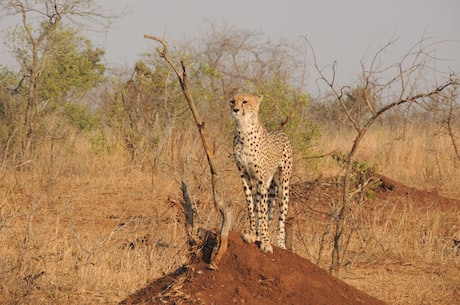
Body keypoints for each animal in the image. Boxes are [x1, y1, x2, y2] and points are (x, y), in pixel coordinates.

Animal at [229, 92, 292, 252]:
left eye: (245, 101)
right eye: (232, 101)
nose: (235, 110)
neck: (244, 130)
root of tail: (280, 131)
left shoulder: (261, 180)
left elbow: (262, 212)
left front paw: (265, 242)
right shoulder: (245, 176)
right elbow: (252, 208)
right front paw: (252, 234)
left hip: (283, 184)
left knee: (281, 215)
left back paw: (280, 243)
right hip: (268, 185)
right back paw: (258, 235)